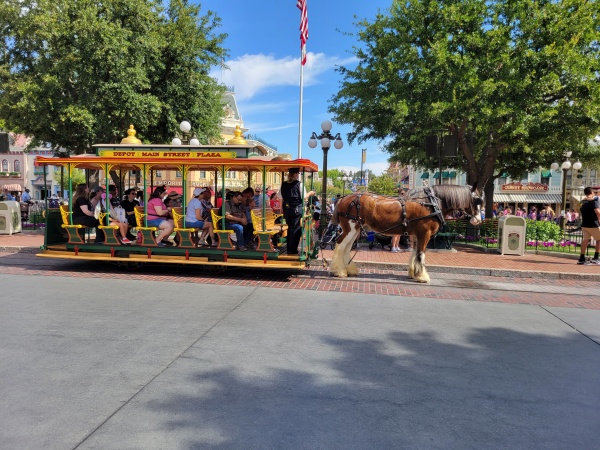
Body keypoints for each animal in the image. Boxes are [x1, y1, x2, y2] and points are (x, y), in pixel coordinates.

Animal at [328, 185, 482, 284]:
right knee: (340, 245)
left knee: (347, 247)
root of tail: (343, 199)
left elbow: (415, 252)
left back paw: (349, 270)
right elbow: (421, 254)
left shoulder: (416, 234)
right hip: (350, 228)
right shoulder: (424, 233)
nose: (478, 220)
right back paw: (340, 271)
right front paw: (422, 276)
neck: (431, 203)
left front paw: (414, 273)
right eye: (477, 201)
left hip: (356, 230)